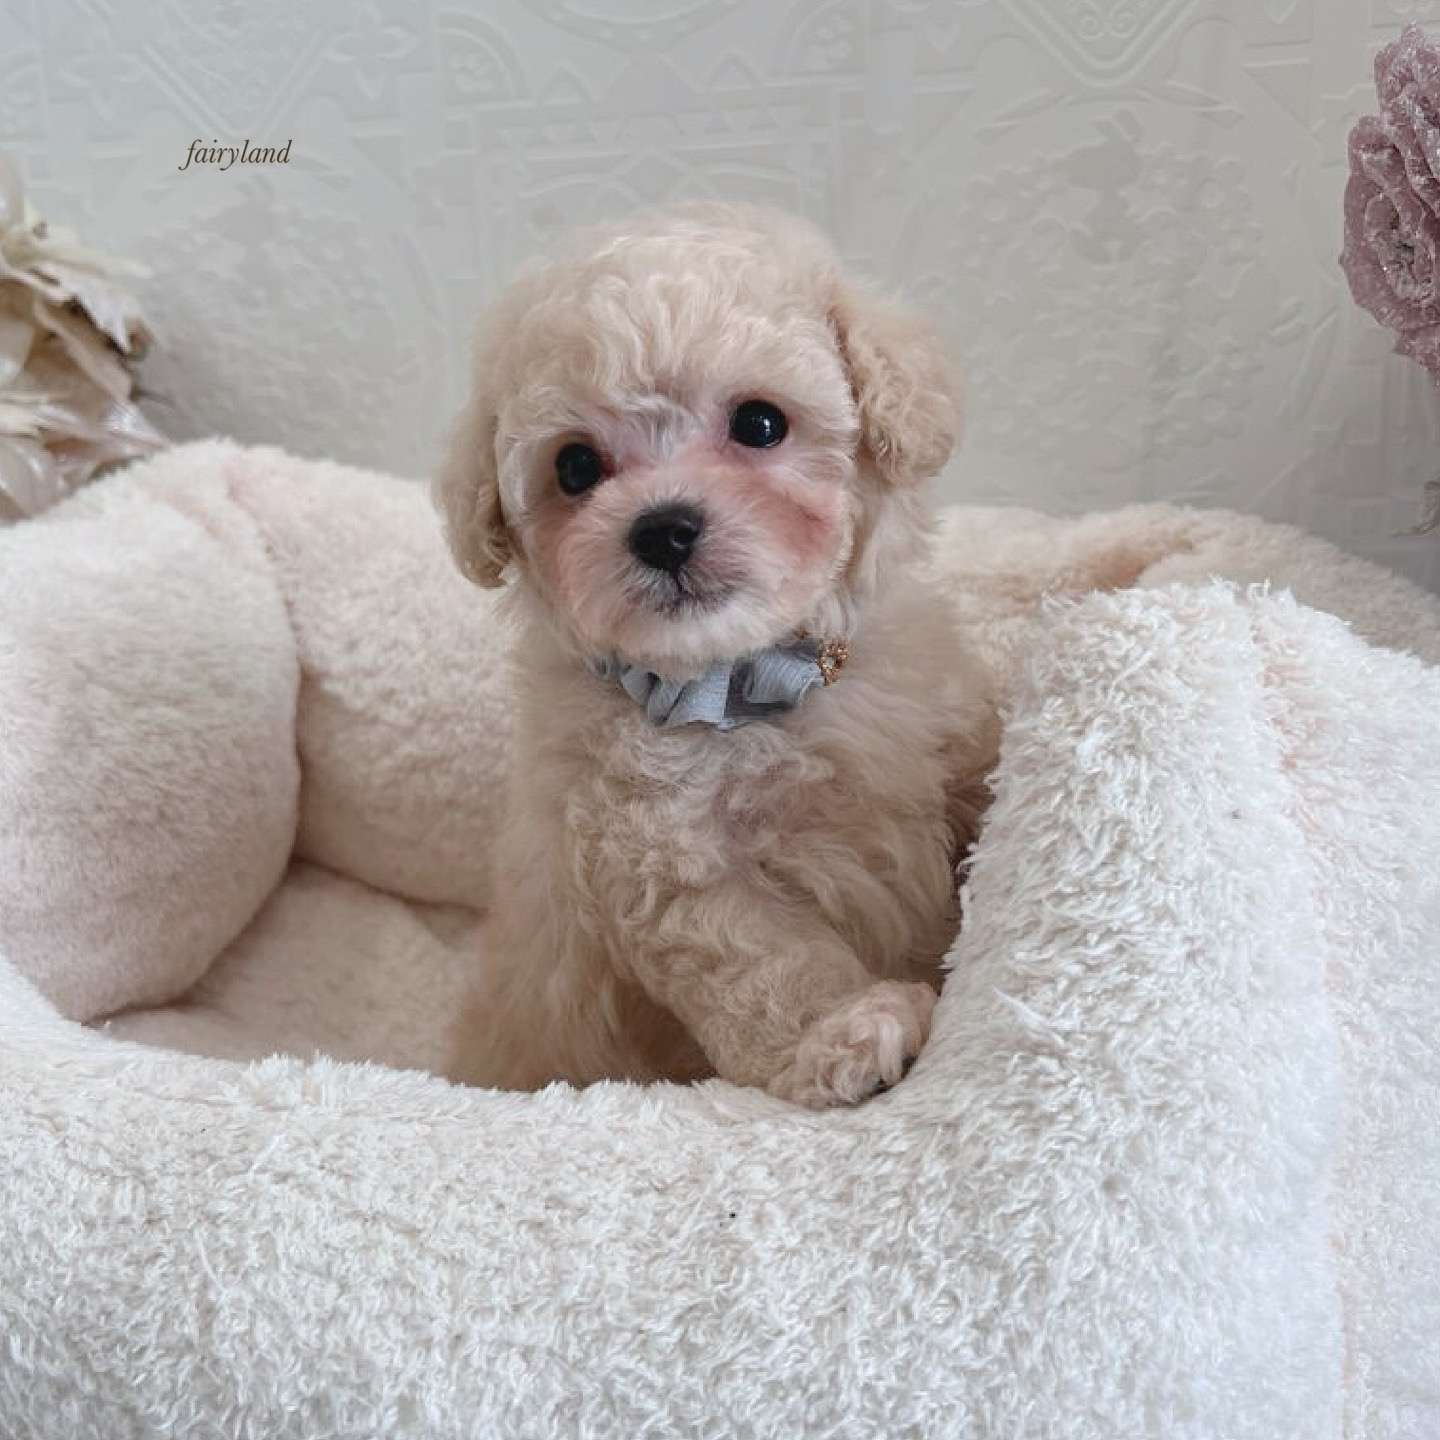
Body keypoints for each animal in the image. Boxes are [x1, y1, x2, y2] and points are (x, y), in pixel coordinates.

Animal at [435, 203, 996, 1107]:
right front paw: (844, 1035)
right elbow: (764, 959)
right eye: (575, 466)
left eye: (761, 423)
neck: (748, 681)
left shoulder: (943, 735)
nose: (663, 529)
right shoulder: (668, 865)